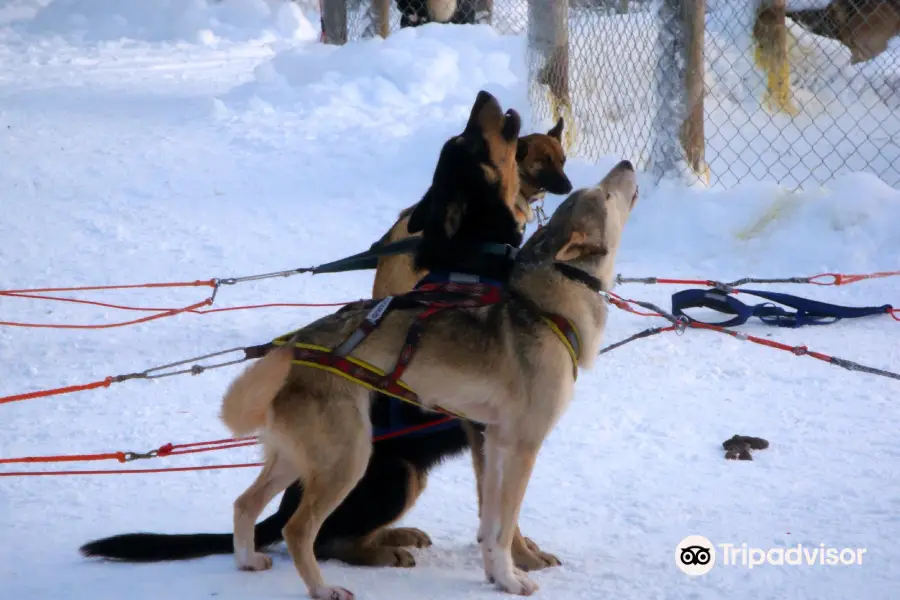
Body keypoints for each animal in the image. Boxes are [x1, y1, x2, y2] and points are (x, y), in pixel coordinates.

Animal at [79, 97, 568, 572]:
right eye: (469, 142)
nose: (484, 96)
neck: (473, 259)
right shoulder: (487, 429)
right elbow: (502, 508)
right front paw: (522, 558)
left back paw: (395, 536)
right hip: (396, 471)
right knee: (328, 540)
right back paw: (381, 550)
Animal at [218, 149, 640, 596]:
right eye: (604, 194)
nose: (627, 163)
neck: (545, 308)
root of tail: (295, 348)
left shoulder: (493, 443)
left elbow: (490, 525)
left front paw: (496, 575)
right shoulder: (522, 446)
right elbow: (504, 528)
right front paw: (512, 578)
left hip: (297, 459)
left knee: (244, 503)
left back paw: (247, 559)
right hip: (349, 461)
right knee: (299, 530)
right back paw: (323, 588)